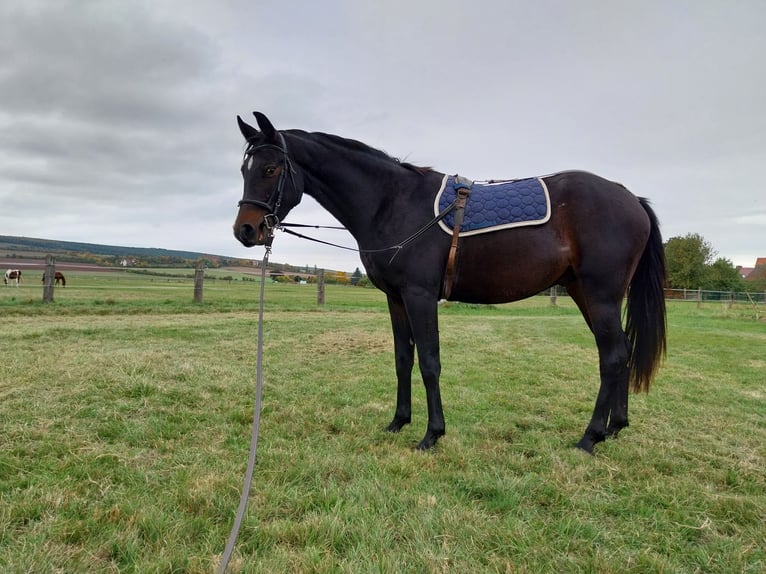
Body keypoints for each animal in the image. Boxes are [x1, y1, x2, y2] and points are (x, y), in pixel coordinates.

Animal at [233, 112, 667, 454]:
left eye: (271, 169)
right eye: (243, 170)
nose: (245, 230)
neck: (393, 202)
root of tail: (631, 198)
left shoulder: (420, 296)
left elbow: (429, 362)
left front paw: (431, 435)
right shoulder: (395, 299)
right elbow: (403, 359)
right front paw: (398, 422)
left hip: (601, 295)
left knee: (612, 357)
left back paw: (590, 438)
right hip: (584, 292)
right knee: (621, 352)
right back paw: (614, 428)